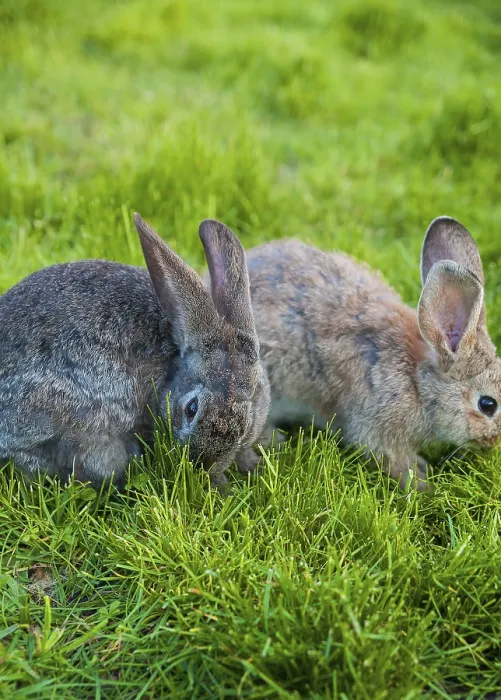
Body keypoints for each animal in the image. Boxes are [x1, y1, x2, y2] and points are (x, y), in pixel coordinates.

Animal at [244, 216, 501, 490]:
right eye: (487, 405)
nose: (494, 441)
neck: (418, 383)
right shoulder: (379, 426)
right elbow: (392, 460)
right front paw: (424, 486)